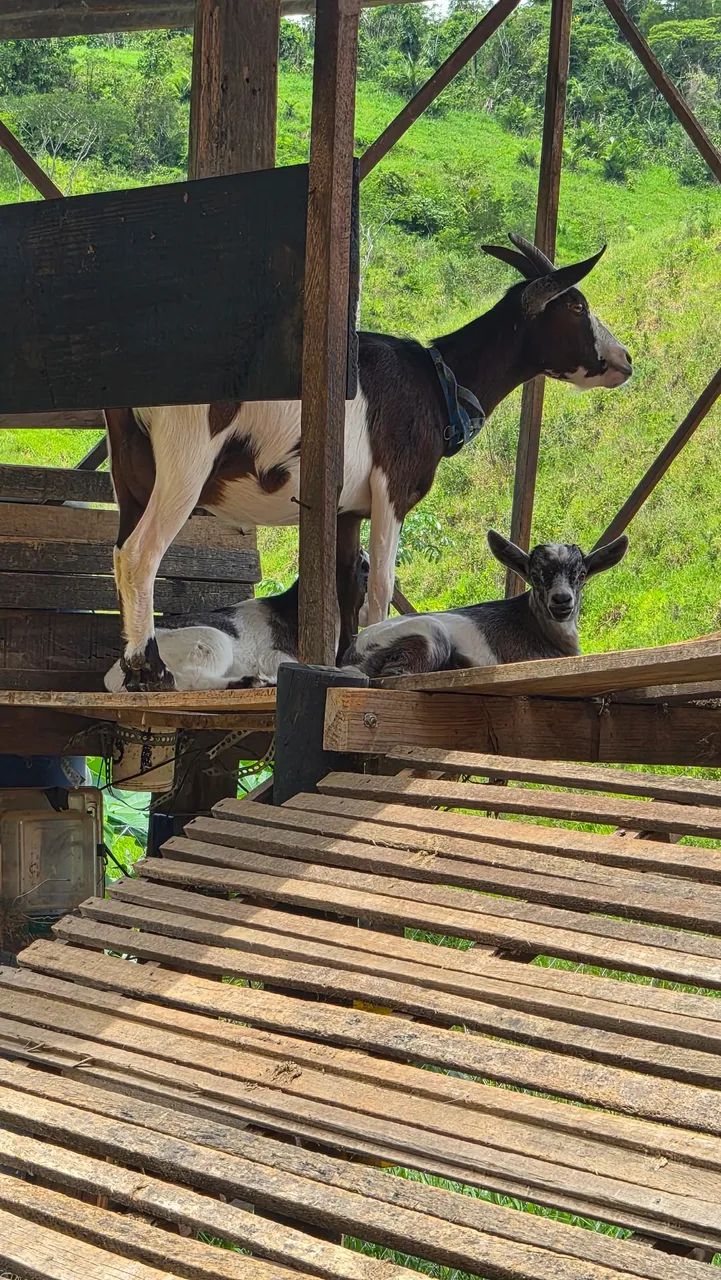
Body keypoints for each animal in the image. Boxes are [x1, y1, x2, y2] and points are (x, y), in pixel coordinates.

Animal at [105, 552, 369, 693]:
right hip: (212, 640)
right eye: (365, 568)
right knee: (187, 680)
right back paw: (251, 681)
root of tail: (115, 674)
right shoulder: (274, 657)